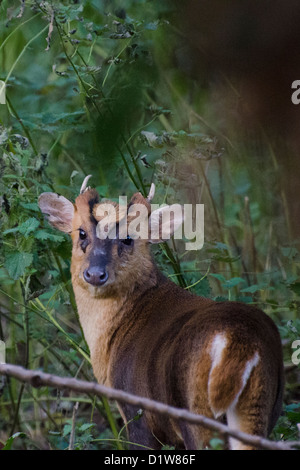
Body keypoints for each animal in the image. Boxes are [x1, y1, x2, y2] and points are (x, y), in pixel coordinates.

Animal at [38, 178, 284, 450]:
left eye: (128, 238)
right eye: (81, 232)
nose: (94, 273)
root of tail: (239, 342)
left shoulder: (137, 413)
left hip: (196, 413)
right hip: (261, 405)